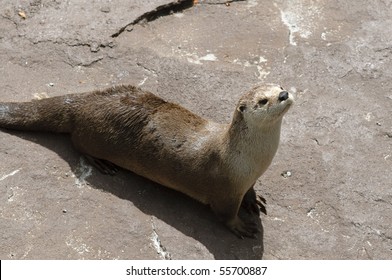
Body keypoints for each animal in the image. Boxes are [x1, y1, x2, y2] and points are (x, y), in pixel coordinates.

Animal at [0, 83, 292, 238]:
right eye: (263, 100)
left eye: (279, 86)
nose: (284, 95)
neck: (249, 160)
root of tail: (85, 101)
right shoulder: (224, 192)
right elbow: (224, 215)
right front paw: (241, 226)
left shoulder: (247, 178)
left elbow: (251, 191)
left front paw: (254, 201)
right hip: (92, 135)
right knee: (77, 144)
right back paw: (101, 164)